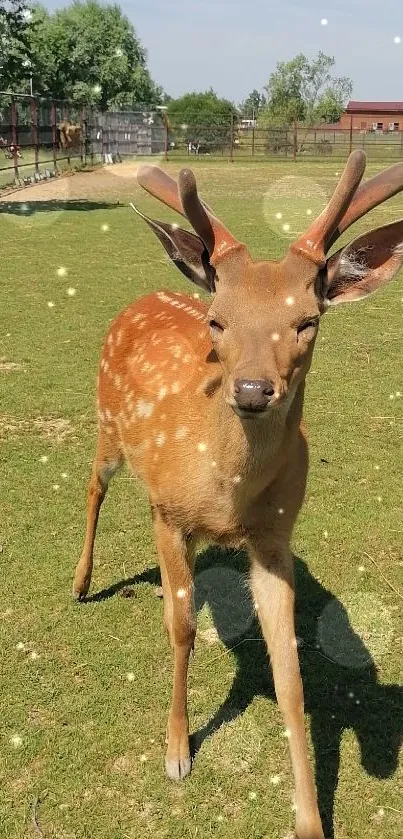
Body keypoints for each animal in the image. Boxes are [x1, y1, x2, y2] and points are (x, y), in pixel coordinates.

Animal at [72, 153, 403, 839]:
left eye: (307, 320)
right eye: (217, 320)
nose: (252, 390)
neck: (225, 495)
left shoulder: (274, 539)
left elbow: (290, 671)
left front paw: (310, 820)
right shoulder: (169, 515)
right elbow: (181, 630)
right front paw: (176, 753)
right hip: (108, 428)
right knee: (93, 485)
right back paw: (82, 582)